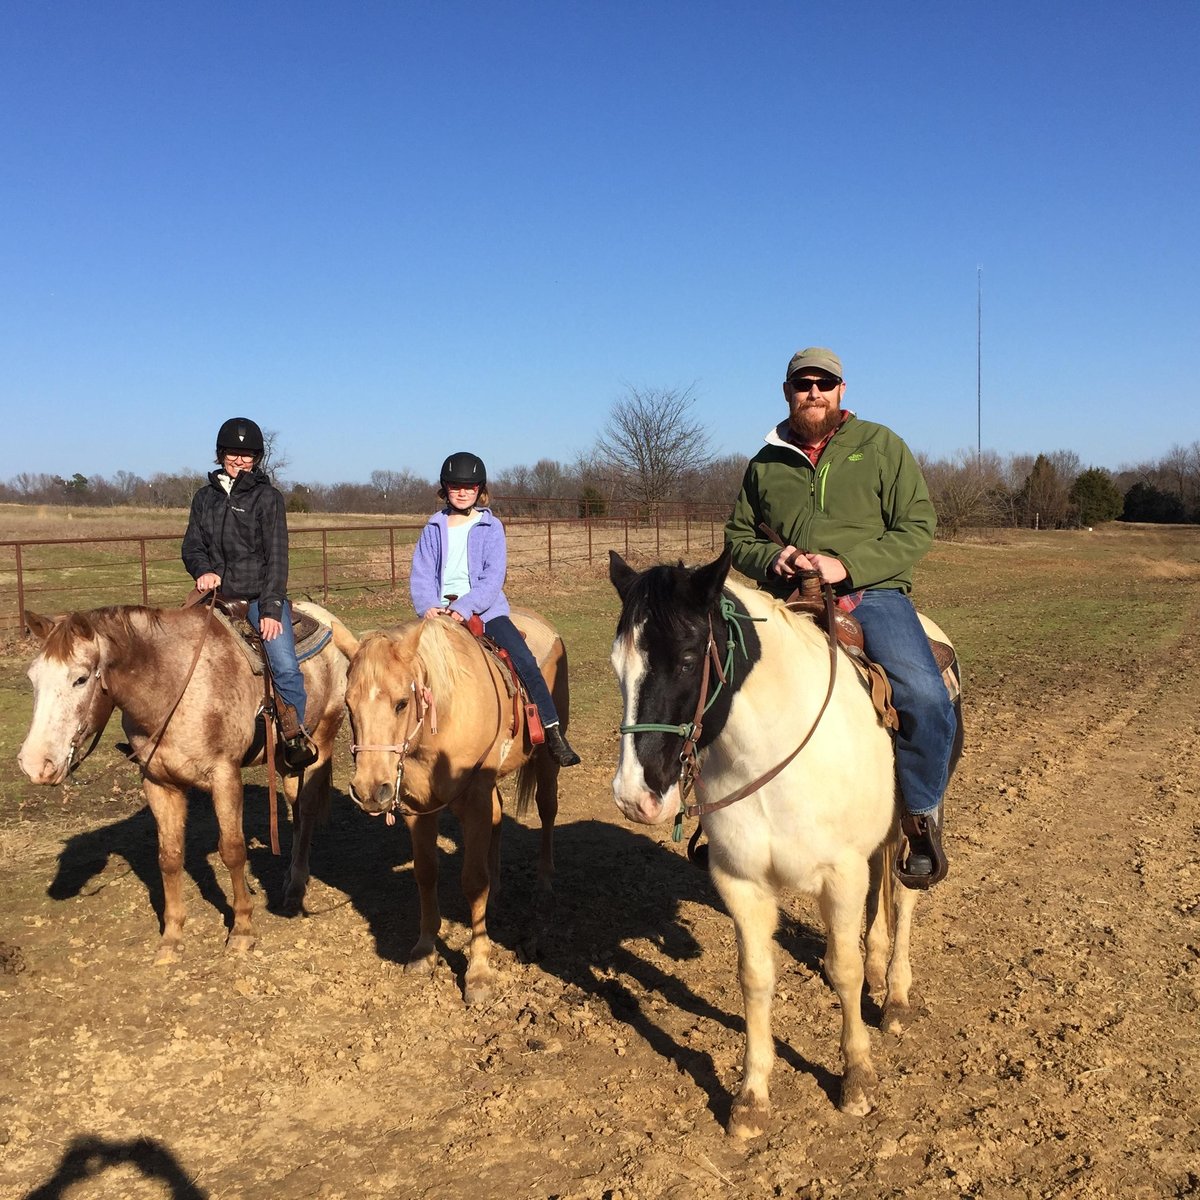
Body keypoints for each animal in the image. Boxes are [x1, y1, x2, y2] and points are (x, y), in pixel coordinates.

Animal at [18, 600, 355, 964]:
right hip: (285, 761)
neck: (173, 688)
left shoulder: (225, 776)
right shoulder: (158, 784)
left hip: (321, 740)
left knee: (305, 813)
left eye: (80, 679)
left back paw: (295, 889)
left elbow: (232, 850)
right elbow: (169, 856)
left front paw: (242, 931)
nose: (34, 763)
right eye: (33, 677)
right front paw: (172, 937)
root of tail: (326, 617)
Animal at [345, 609, 568, 1003]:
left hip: (545, 762)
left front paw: (478, 972)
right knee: (498, 818)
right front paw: (424, 950)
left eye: (402, 702)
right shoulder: (419, 809)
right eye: (347, 705)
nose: (370, 790)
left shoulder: (474, 799)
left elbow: (473, 881)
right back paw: (498, 888)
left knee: (547, 810)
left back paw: (544, 884)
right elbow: (425, 872)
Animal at [614, 549, 960, 1137]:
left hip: (915, 828)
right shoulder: (742, 883)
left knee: (905, 896)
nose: (636, 796)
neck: (771, 752)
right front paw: (751, 1097)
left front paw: (857, 1079)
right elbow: (756, 978)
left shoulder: (841, 874)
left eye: (687, 659)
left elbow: (843, 970)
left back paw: (895, 996)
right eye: (619, 667)